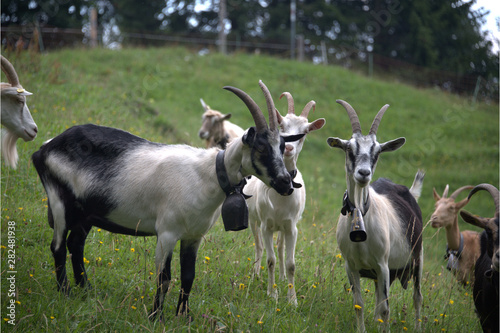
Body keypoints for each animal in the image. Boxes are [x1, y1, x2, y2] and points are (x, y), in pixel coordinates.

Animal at [32, 80, 304, 320]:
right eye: (261, 147)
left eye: (282, 147)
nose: (285, 183)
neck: (207, 174)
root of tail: (45, 148)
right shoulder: (166, 233)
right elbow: (164, 278)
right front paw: (156, 316)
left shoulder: (193, 236)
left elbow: (188, 276)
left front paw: (183, 316)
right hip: (59, 201)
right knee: (58, 246)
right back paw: (65, 292)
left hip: (86, 212)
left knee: (76, 244)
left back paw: (86, 290)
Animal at [247, 92, 326, 304]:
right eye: (281, 126)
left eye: (305, 132)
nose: (288, 148)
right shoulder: (266, 225)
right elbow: (270, 259)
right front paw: (272, 294)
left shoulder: (292, 227)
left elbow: (291, 263)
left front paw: (292, 299)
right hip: (253, 219)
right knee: (259, 246)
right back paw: (256, 273)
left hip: (283, 227)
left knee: (281, 247)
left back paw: (282, 279)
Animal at [326, 100, 424, 330]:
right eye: (349, 148)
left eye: (377, 152)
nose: (364, 173)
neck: (361, 218)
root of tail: (410, 192)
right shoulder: (351, 266)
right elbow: (359, 305)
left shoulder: (383, 266)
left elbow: (386, 309)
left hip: (417, 260)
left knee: (417, 297)